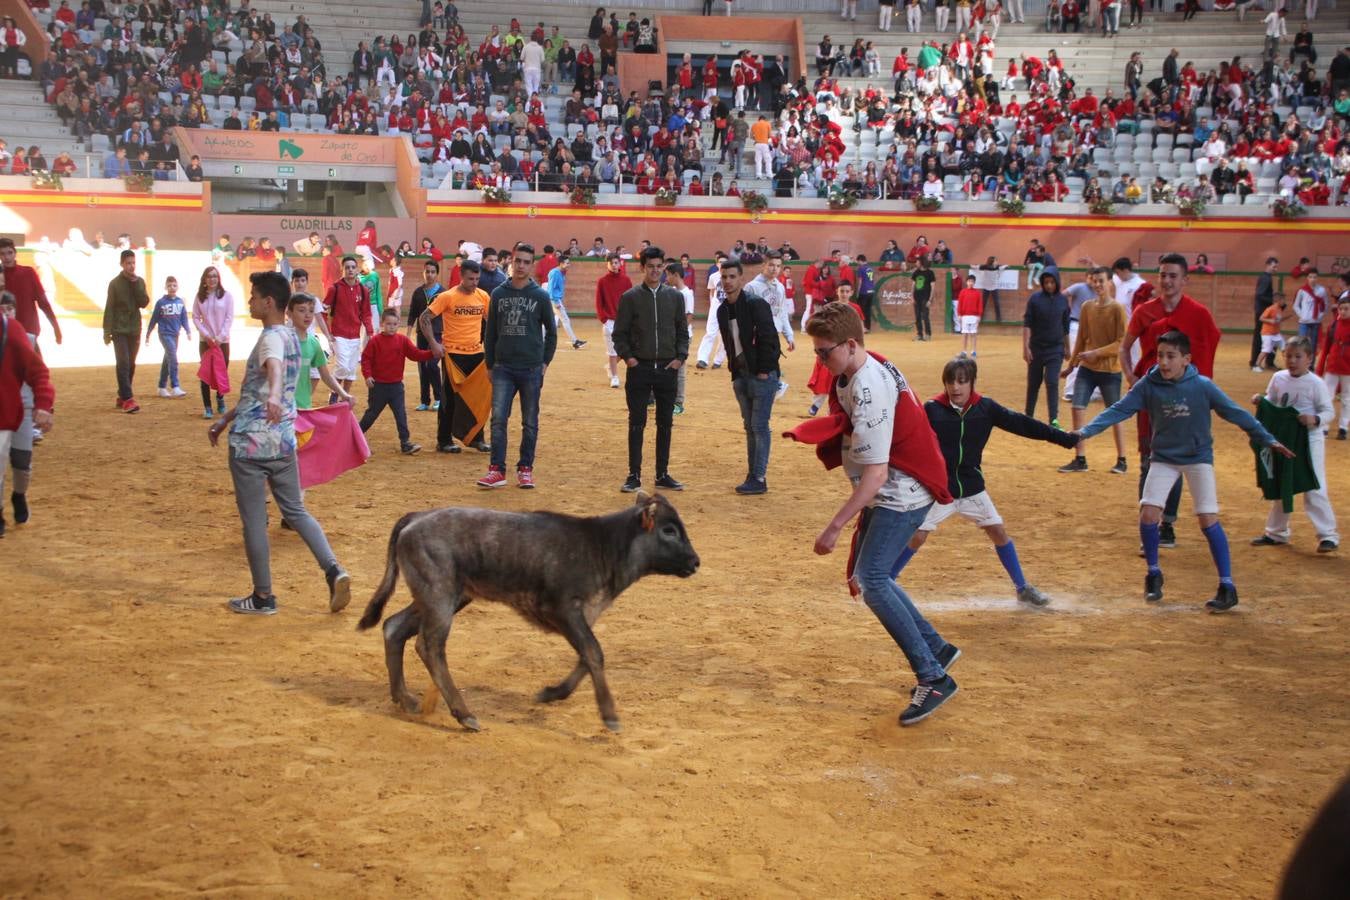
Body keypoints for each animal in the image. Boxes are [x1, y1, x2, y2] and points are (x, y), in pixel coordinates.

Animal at [359, 493, 696, 734]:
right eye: (669, 530)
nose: (695, 561)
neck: (603, 547)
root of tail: (416, 517)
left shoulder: (584, 616)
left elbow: (587, 658)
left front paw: (551, 693)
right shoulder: (564, 610)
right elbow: (593, 652)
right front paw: (610, 716)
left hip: (445, 597)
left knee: (394, 627)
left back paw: (405, 699)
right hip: (439, 596)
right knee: (429, 646)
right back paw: (464, 714)